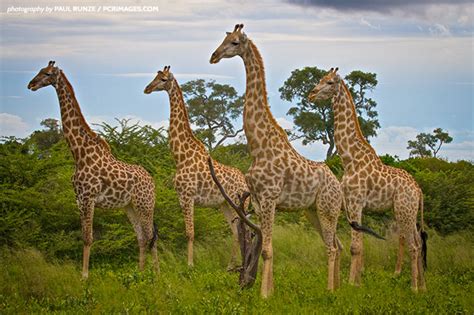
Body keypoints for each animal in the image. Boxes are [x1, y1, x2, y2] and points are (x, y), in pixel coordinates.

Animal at [27, 60, 159, 278]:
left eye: (46, 73)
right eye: (39, 71)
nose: (31, 84)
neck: (79, 153)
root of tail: (152, 180)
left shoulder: (88, 198)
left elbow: (89, 238)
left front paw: (84, 277)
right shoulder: (79, 199)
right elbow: (84, 237)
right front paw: (84, 274)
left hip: (145, 204)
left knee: (150, 235)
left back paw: (156, 273)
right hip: (129, 206)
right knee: (141, 235)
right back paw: (140, 272)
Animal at [143, 65, 248, 270]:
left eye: (164, 79)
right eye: (155, 76)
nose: (147, 88)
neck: (181, 156)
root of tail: (246, 183)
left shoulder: (187, 196)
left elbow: (190, 233)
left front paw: (190, 265)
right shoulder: (181, 197)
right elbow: (189, 232)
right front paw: (190, 263)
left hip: (239, 204)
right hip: (225, 204)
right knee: (236, 230)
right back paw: (231, 265)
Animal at [211, 23, 344, 298]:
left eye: (235, 42)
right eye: (224, 38)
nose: (214, 56)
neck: (258, 146)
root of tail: (339, 186)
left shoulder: (270, 197)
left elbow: (267, 250)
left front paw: (264, 295)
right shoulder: (259, 201)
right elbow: (267, 248)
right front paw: (270, 291)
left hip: (327, 208)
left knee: (332, 247)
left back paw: (329, 292)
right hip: (313, 211)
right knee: (335, 244)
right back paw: (337, 288)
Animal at [310, 68, 428, 292]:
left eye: (329, 82)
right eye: (319, 79)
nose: (311, 94)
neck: (350, 159)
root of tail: (418, 190)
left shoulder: (355, 202)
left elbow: (355, 247)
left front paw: (350, 284)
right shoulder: (351, 205)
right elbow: (361, 245)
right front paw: (358, 282)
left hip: (404, 210)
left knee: (414, 245)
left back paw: (414, 288)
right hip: (406, 211)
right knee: (418, 241)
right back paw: (423, 286)